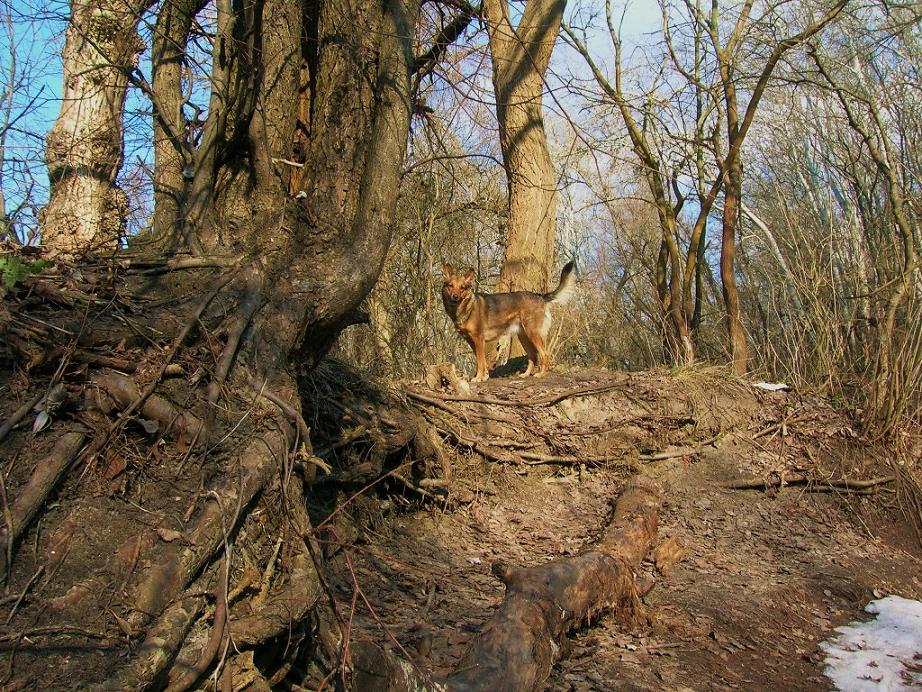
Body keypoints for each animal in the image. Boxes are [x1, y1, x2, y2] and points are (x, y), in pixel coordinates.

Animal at [440, 260, 576, 382]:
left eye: (462, 288)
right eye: (450, 286)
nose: (455, 297)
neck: (466, 308)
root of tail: (540, 296)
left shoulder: (478, 340)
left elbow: (480, 362)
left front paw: (478, 378)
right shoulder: (472, 341)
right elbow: (482, 362)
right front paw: (485, 376)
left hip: (533, 333)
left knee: (544, 354)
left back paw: (541, 374)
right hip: (524, 337)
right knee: (532, 356)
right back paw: (525, 375)